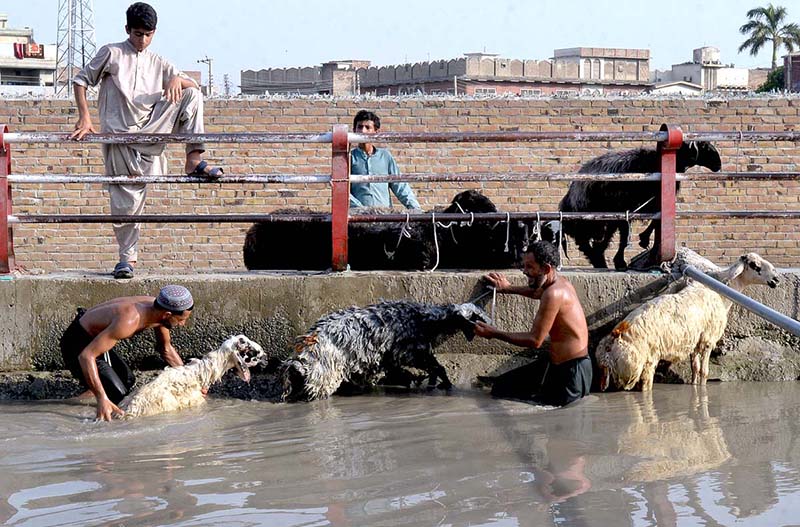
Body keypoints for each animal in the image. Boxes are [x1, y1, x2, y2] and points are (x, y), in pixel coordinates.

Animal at [556, 141, 724, 270]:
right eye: (706, 147)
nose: (718, 165)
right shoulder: (635, 206)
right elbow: (639, 230)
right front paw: (641, 243)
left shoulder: (645, 205)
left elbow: (653, 222)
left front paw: (642, 242)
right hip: (590, 222)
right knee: (588, 245)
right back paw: (604, 262)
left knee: (597, 244)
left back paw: (603, 262)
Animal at [596, 254, 780, 394]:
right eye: (755, 265)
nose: (776, 279)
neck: (721, 292)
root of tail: (612, 342)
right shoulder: (707, 340)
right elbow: (704, 372)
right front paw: (703, 390)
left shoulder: (694, 341)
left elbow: (695, 368)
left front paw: (694, 387)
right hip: (638, 367)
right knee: (644, 386)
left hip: (615, 374)